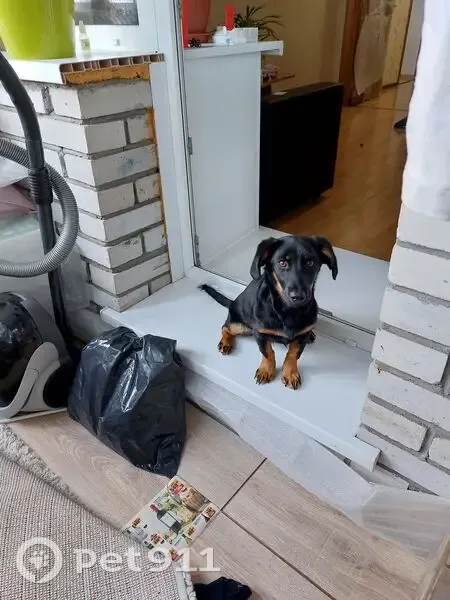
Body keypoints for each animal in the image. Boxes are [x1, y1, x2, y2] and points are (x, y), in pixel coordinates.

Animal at [200, 235, 337, 389]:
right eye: (282, 263)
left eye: (310, 262)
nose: (297, 297)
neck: (288, 311)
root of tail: (232, 302)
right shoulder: (260, 333)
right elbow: (267, 352)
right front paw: (266, 370)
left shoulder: (301, 337)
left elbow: (293, 353)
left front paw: (290, 372)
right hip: (239, 326)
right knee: (225, 327)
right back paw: (226, 342)